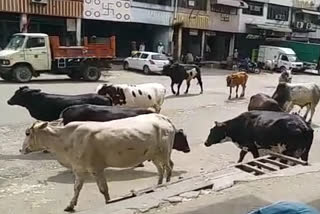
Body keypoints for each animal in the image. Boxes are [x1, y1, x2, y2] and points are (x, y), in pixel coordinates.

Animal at [20, 113, 190, 212]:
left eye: (27, 133)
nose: (21, 150)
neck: (66, 140)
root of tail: (163, 118)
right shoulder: (79, 169)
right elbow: (77, 188)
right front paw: (70, 205)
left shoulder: (96, 168)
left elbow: (103, 189)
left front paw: (109, 202)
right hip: (154, 155)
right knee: (161, 169)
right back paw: (159, 184)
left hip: (164, 152)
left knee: (169, 167)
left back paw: (166, 184)